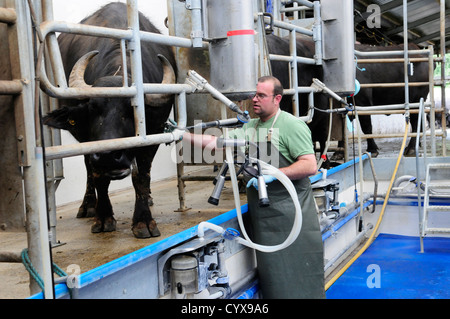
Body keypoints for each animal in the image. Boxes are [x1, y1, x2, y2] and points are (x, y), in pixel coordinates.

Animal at [42, 1, 176, 238]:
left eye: (131, 111)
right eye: (93, 110)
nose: (108, 156)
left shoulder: (153, 136)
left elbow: (141, 176)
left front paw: (143, 221)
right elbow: (97, 175)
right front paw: (103, 217)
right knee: (88, 168)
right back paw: (88, 205)